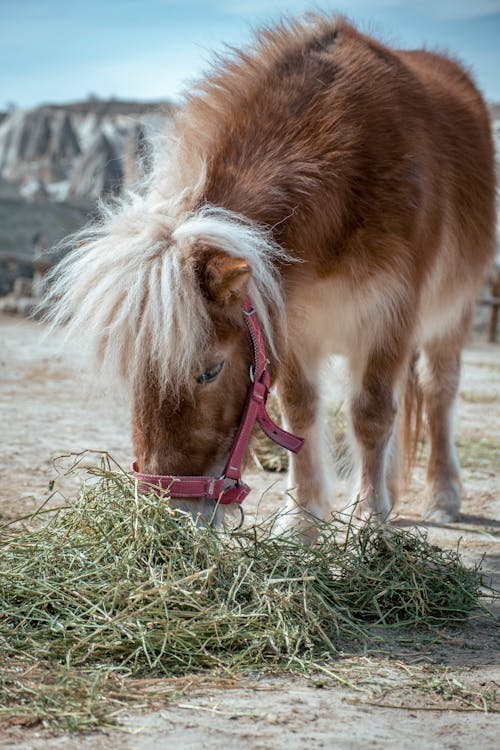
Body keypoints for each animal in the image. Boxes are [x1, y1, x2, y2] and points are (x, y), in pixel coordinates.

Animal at [46, 16, 496, 540]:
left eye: (210, 370)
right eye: (133, 372)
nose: (171, 516)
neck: (345, 163)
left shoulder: (388, 315)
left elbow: (370, 415)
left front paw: (367, 523)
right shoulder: (292, 324)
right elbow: (299, 413)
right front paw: (301, 520)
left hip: (451, 317)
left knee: (438, 392)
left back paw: (442, 498)